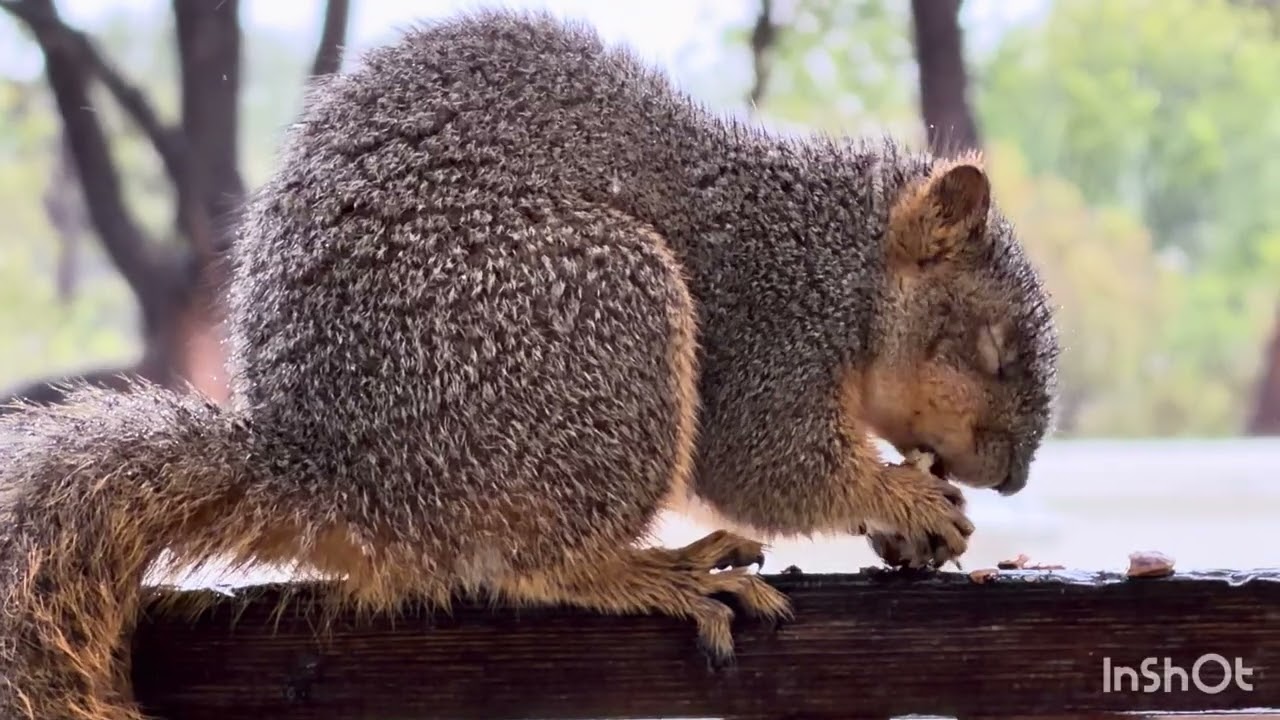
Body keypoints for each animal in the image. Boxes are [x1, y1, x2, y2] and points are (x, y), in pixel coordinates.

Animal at [0, 9, 1059, 720]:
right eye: (994, 347)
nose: (1010, 479)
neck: (840, 258)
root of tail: (335, 476)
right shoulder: (771, 323)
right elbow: (764, 463)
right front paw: (904, 497)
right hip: (596, 325)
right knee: (536, 564)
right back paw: (660, 572)